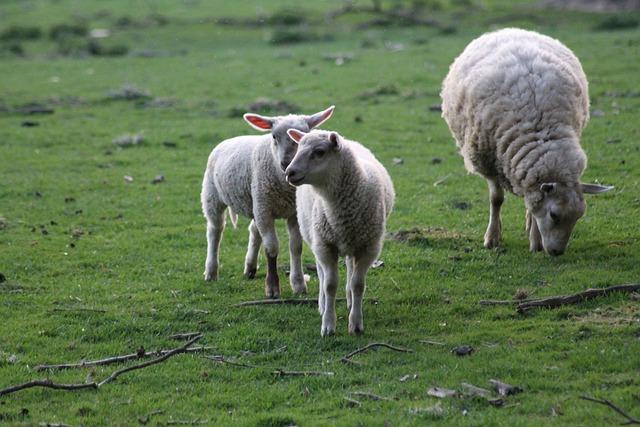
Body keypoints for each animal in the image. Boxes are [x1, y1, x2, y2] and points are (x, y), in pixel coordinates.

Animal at [202, 105, 336, 300]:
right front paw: (272, 288)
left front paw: (298, 284)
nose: (286, 163)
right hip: (213, 196)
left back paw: (250, 268)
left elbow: (296, 247)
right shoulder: (264, 209)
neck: (285, 186)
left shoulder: (292, 213)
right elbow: (271, 248)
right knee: (215, 231)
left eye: (303, 135)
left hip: (255, 202)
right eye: (274, 136)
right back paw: (211, 272)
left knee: (253, 230)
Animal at [284, 129, 396, 336]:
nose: (289, 172)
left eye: (319, 152)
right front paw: (328, 325)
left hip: (353, 241)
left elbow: (358, 284)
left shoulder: (369, 247)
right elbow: (329, 285)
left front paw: (356, 324)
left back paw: (350, 300)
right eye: (298, 148)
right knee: (321, 273)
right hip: (315, 237)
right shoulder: (325, 246)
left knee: (350, 268)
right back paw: (322, 304)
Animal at [442, 28, 612, 256]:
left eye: (579, 216)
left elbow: (531, 206)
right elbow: (496, 199)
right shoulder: (489, 159)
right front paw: (492, 237)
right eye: (554, 215)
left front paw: (535, 240)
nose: (557, 252)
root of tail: (510, 29)